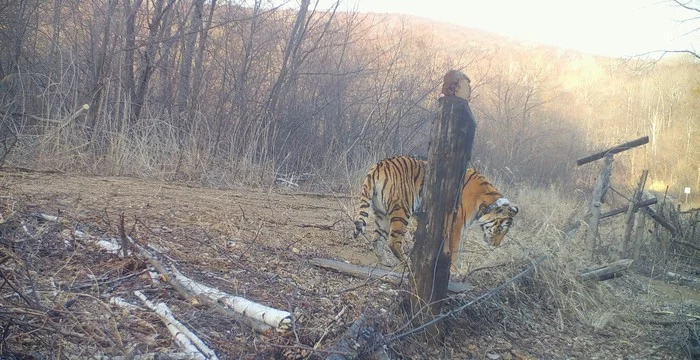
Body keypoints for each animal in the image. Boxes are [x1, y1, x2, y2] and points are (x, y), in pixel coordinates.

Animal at [352, 156, 516, 268]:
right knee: (393, 241)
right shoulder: (457, 223)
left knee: (377, 239)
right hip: (402, 210)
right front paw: (456, 270)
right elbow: (456, 248)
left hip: (382, 214)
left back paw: (386, 262)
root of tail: (379, 165)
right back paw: (407, 264)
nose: (495, 245)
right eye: (500, 229)